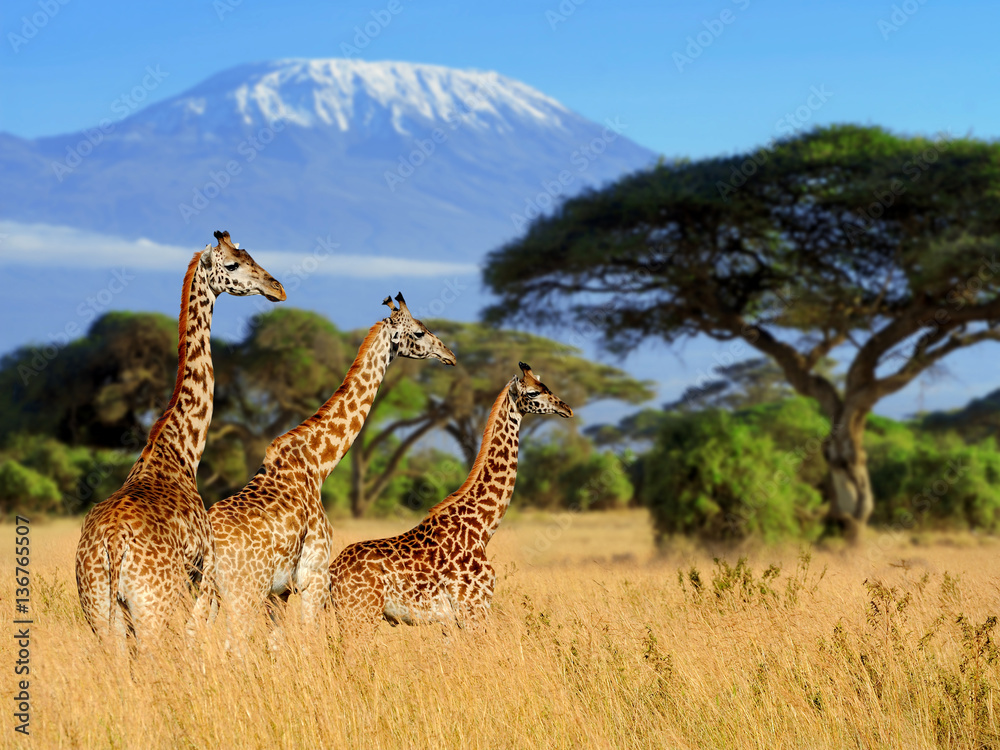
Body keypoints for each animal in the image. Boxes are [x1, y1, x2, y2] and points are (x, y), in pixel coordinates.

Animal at [73, 232, 286, 648]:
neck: (181, 450)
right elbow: (196, 636)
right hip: (151, 606)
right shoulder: (204, 571)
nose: (277, 288)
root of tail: (112, 544)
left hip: (99, 611)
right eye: (233, 264)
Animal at [194, 290, 458, 644]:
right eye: (418, 332)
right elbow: (309, 639)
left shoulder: (281, 591)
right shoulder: (314, 576)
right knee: (233, 644)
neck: (317, 464)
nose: (450, 355)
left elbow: (277, 643)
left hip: (206, 593)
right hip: (243, 591)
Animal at [330, 362, 572, 640]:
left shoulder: (451, 621)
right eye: (533, 393)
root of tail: (331, 573)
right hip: (360, 615)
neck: (482, 527)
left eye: (546, 386)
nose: (566, 408)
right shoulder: (473, 609)